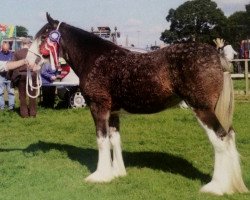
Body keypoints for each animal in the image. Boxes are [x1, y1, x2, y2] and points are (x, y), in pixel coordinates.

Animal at [27, 12, 248, 195]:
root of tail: (217, 55)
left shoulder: (99, 108)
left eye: (44, 36)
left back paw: (216, 187)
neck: (95, 58)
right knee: (230, 135)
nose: (29, 61)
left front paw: (100, 176)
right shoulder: (113, 113)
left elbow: (101, 139)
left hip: (202, 109)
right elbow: (114, 140)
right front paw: (116, 173)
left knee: (220, 138)